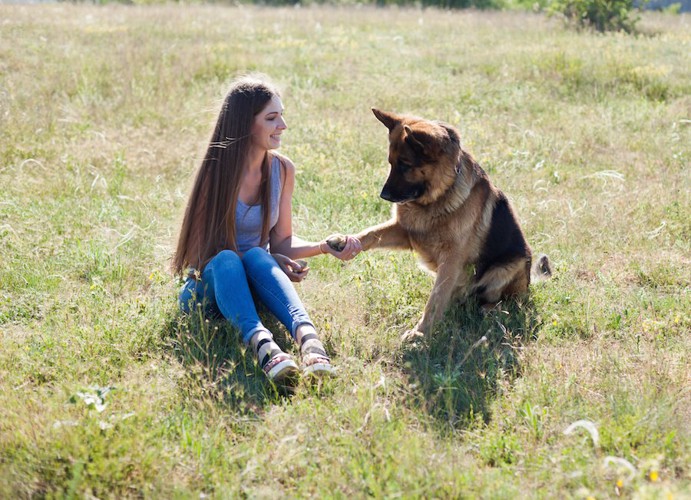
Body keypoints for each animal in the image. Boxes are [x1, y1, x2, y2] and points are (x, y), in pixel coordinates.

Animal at [330, 109, 552, 340]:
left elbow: (435, 299)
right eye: (390, 162)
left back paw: (490, 308)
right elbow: (371, 233)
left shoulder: (451, 259)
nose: (384, 195)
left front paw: (419, 334)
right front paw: (344, 241)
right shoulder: (404, 231)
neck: (438, 196)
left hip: (508, 265)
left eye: (406, 165)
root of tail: (528, 283)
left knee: (509, 302)